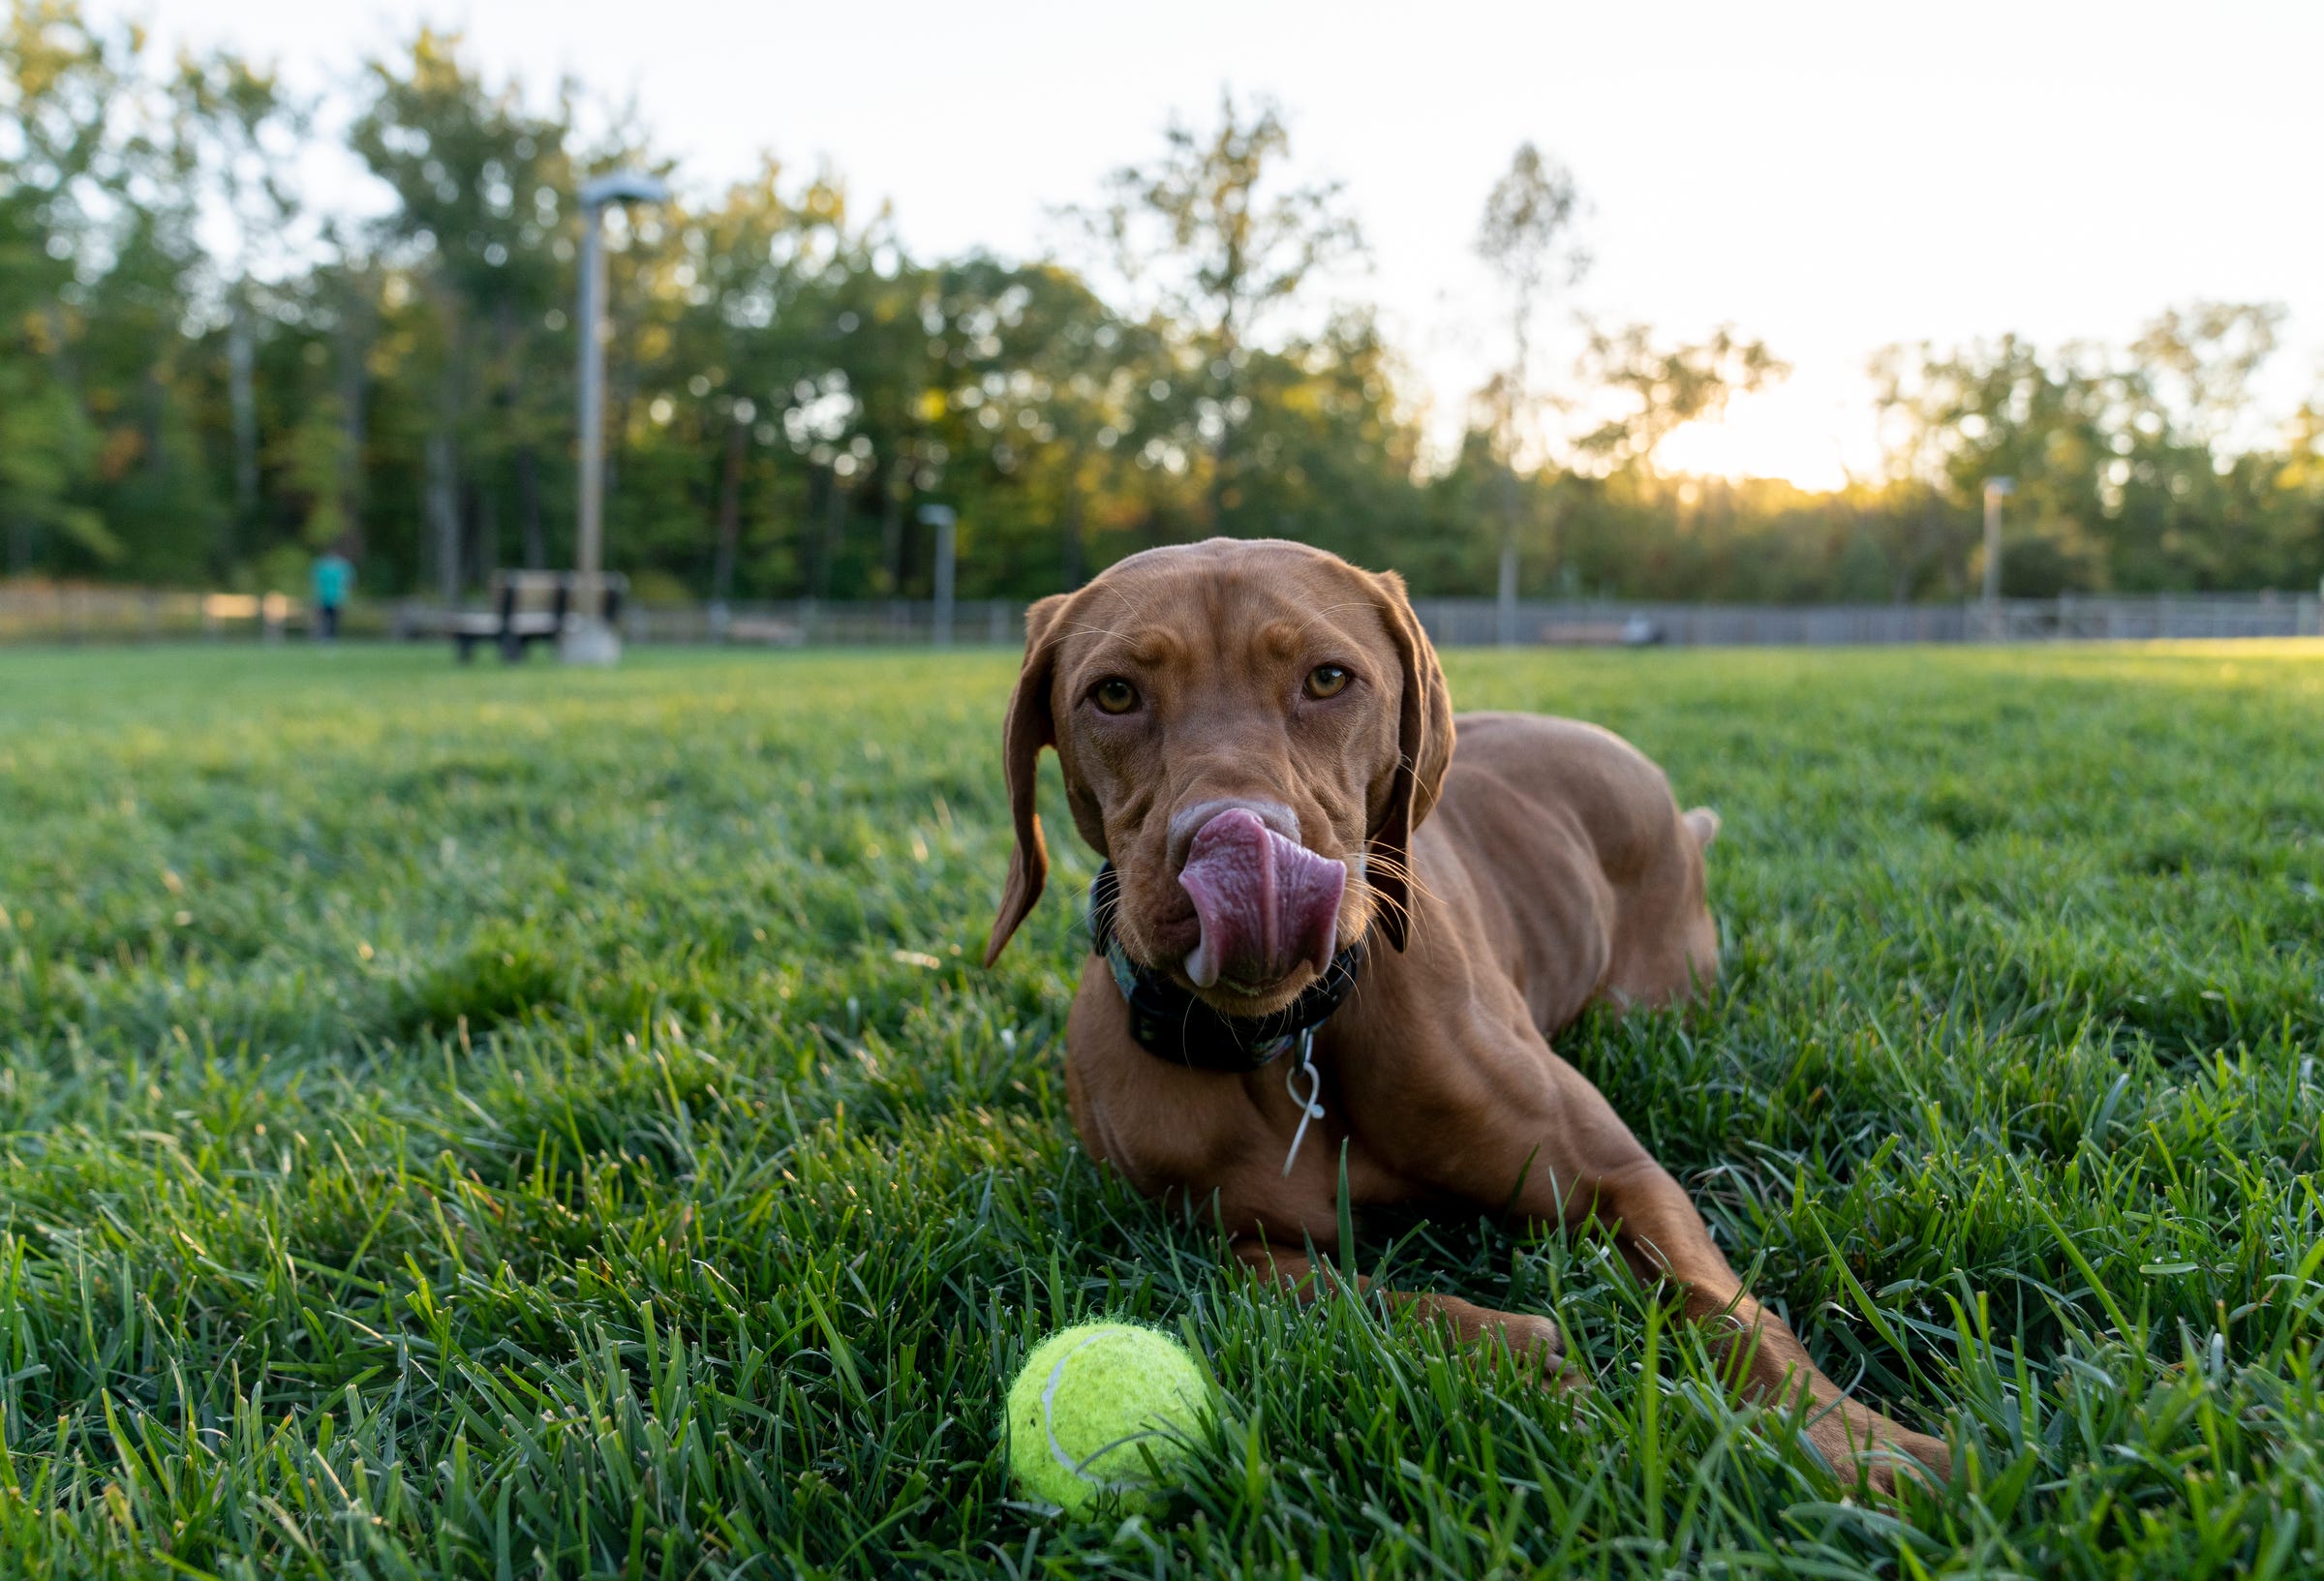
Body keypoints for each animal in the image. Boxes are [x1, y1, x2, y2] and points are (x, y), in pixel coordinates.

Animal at [990, 536, 1952, 1487]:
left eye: (1328, 679)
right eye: (1115, 694)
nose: (1235, 842)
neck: (1294, 1041)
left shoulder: (1620, 1176)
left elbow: (1729, 1306)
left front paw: (1861, 1442)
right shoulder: (1203, 1241)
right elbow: (1332, 1292)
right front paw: (1515, 1349)